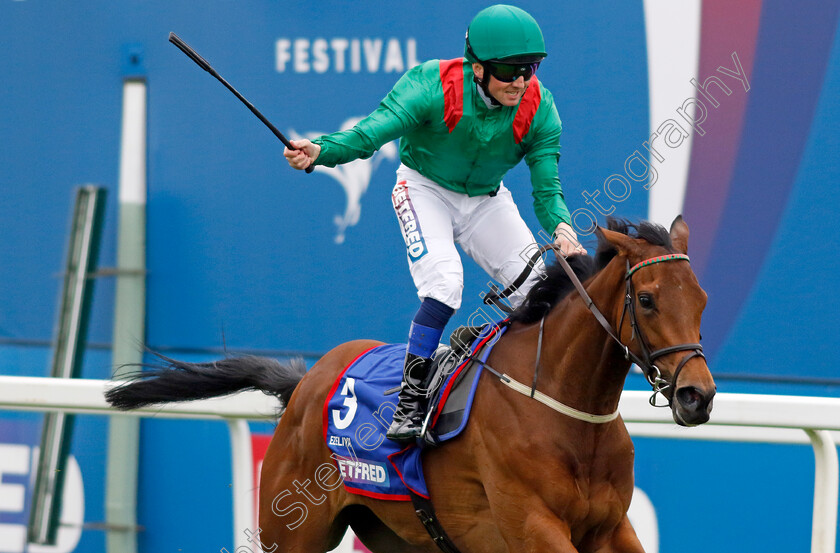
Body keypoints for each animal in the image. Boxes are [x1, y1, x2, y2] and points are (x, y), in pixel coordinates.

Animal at [106, 216, 716, 552]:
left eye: (702, 299)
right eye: (647, 299)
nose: (699, 396)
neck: (565, 411)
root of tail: (308, 381)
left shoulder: (612, 529)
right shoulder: (532, 527)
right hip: (292, 530)